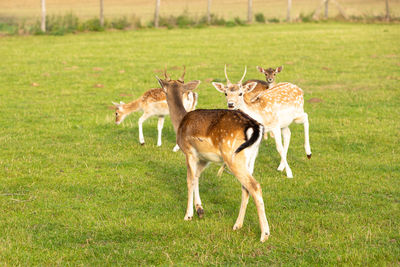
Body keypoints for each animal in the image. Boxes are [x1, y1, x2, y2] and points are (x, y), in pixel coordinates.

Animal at [155, 67, 270, 243]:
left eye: (163, 89)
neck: (179, 123)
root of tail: (255, 127)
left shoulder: (189, 151)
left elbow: (189, 180)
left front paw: (188, 215)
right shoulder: (204, 158)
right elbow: (197, 178)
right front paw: (200, 210)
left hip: (233, 156)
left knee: (255, 186)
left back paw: (264, 234)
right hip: (251, 158)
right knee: (246, 188)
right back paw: (237, 225)